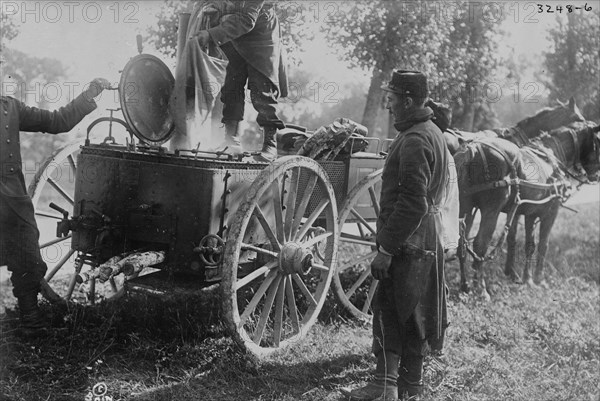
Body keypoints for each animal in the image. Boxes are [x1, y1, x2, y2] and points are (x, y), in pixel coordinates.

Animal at [454, 120, 600, 298]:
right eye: (598, 141)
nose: (596, 175)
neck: (550, 159)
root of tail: (472, 148)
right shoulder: (550, 212)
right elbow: (543, 244)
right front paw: (539, 280)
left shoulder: (529, 214)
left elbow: (528, 245)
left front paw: (527, 279)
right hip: (490, 211)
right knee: (479, 245)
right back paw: (481, 289)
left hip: (465, 208)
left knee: (461, 244)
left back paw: (465, 286)